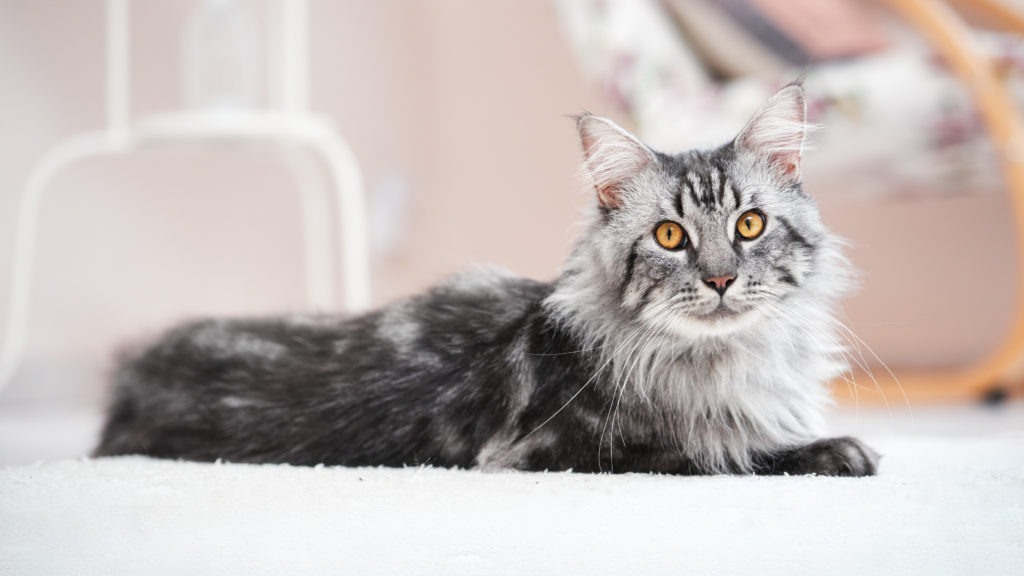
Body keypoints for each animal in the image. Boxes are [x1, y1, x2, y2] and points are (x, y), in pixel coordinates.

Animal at [96, 81, 880, 475]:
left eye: (749, 225)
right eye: (670, 237)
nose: (720, 280)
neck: (723, 362)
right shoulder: (554, 451)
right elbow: (720, 452)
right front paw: (836, 451)